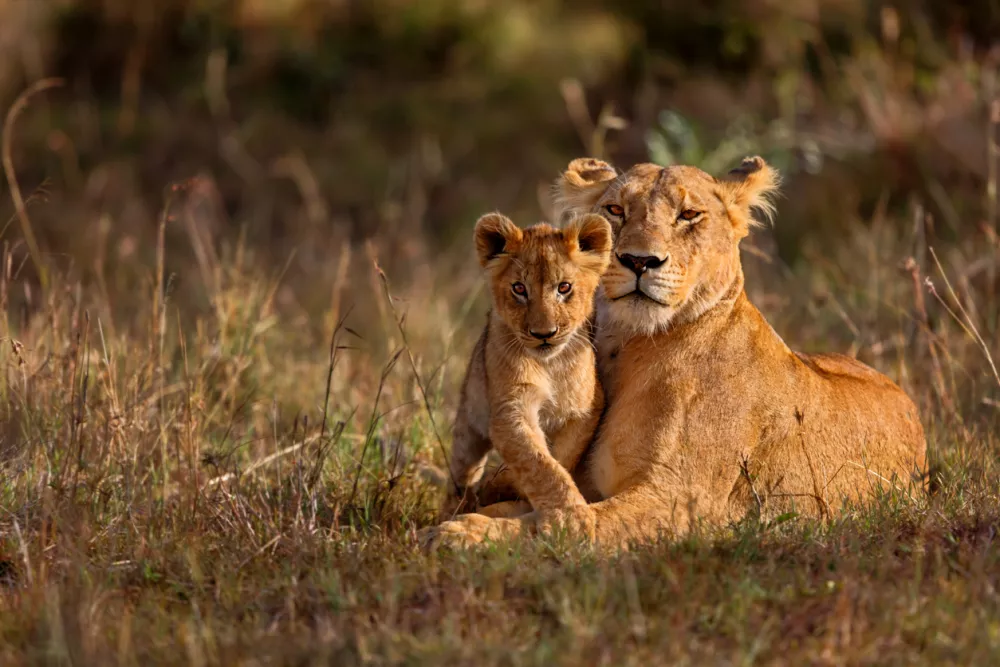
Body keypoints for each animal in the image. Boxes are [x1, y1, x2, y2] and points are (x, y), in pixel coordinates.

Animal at [439, 211, 613, 521]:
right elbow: (538, 463)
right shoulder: (510, 410)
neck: (550, 365)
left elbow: (560, 457)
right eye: (519, 289)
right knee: (462, 472)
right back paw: (456, 506)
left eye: (564, 287)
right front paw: (571, 516)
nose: (544, 333)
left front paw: (504, 483)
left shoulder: (586, 409)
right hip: (468, 423)